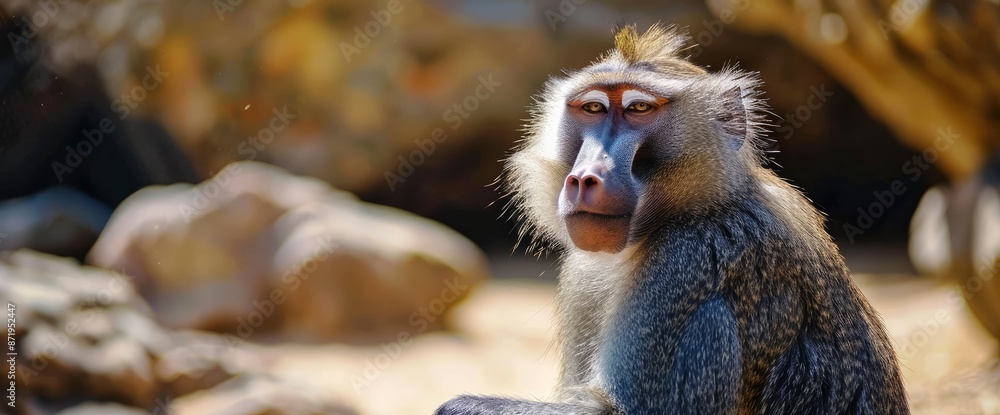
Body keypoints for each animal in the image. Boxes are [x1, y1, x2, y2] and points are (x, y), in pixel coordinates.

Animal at [435, 24, 909, 415]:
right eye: (593, 108)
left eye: (639, 109)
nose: (586, 177)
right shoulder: (585, 274)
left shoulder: (688, 258)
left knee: (710, 316)